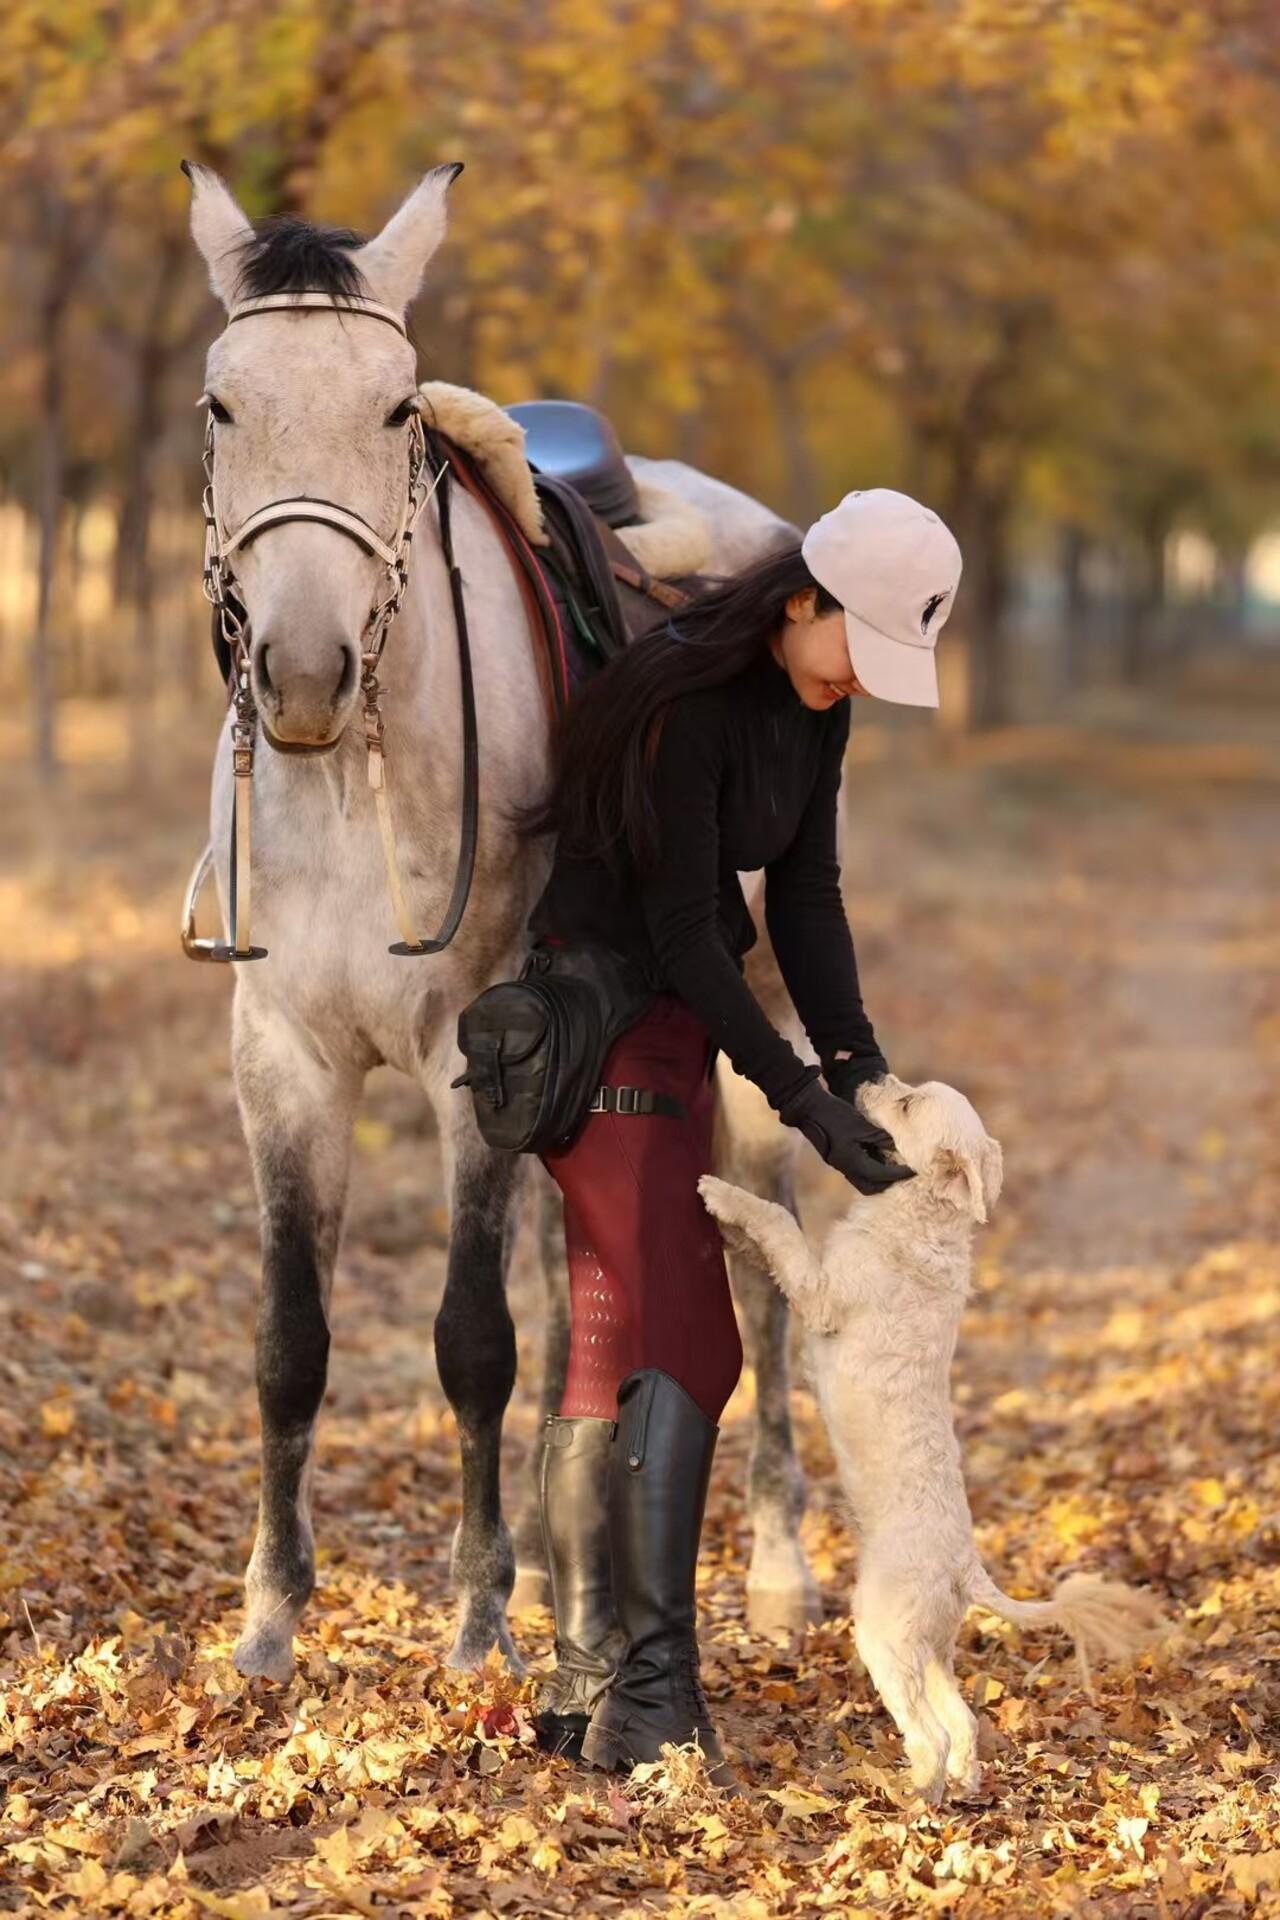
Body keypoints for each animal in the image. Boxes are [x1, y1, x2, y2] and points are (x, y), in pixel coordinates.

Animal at [183, 160, 821, 1684]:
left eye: (394, 411)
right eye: (222, 405)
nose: (302, 672)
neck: (347, 779)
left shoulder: (469, 1055)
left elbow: (470, 1335)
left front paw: (474, 1617)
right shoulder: (281, 1057)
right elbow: (289, 1339)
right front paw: (271, 1617)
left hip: (751, 1021)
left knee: (764, 1267)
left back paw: (774, 1569)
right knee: (568, 1262)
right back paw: (558, 1566)